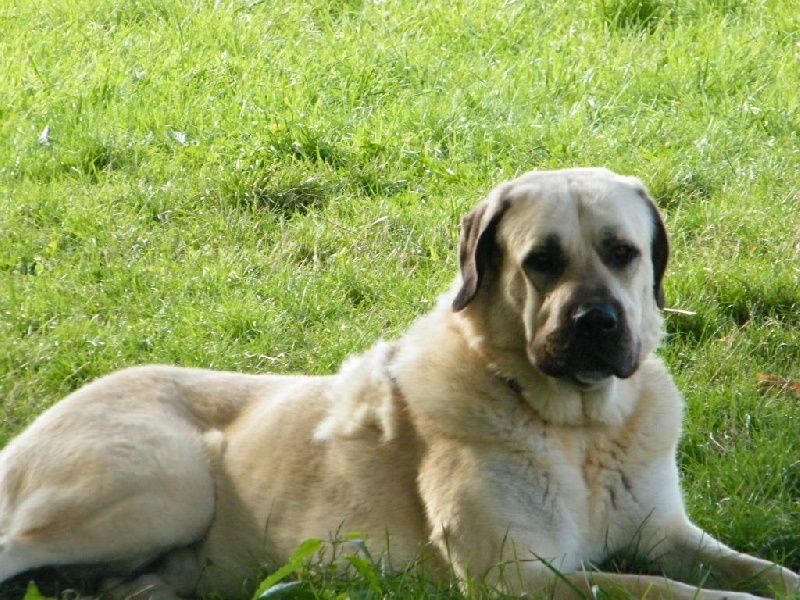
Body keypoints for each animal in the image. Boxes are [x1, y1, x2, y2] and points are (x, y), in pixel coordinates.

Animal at [0, 168, 797, 600]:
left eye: (623, 252)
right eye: (541, 260)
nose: (597, 322)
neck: (580, 427)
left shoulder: (666, 533)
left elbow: (752, 567)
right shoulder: (520, 575)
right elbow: (667, 589)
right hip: (162, 486)